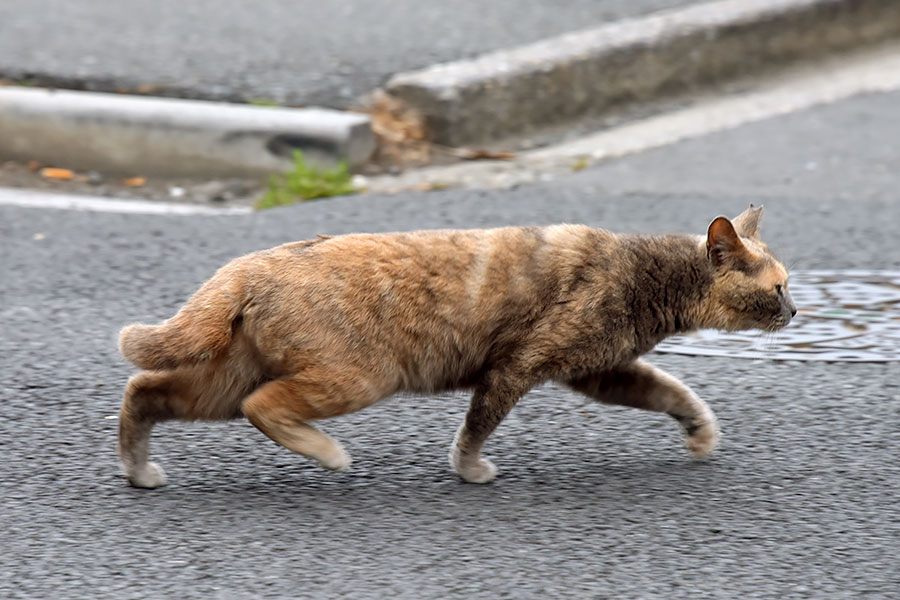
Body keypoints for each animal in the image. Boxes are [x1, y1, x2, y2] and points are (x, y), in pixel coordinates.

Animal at [118, 205, 796, 488]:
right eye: (780, 286)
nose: (796, 310)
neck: (643, 273)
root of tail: (247, 266)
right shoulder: (520, 365)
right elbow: (478, 424)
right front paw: (469, 470)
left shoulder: (600, 371)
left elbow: (673, 392)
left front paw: (701, 435)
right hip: (357, 377)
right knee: (264, 406)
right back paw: (330, 455)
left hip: (223, 380)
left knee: (143, 390)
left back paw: (139, 471)